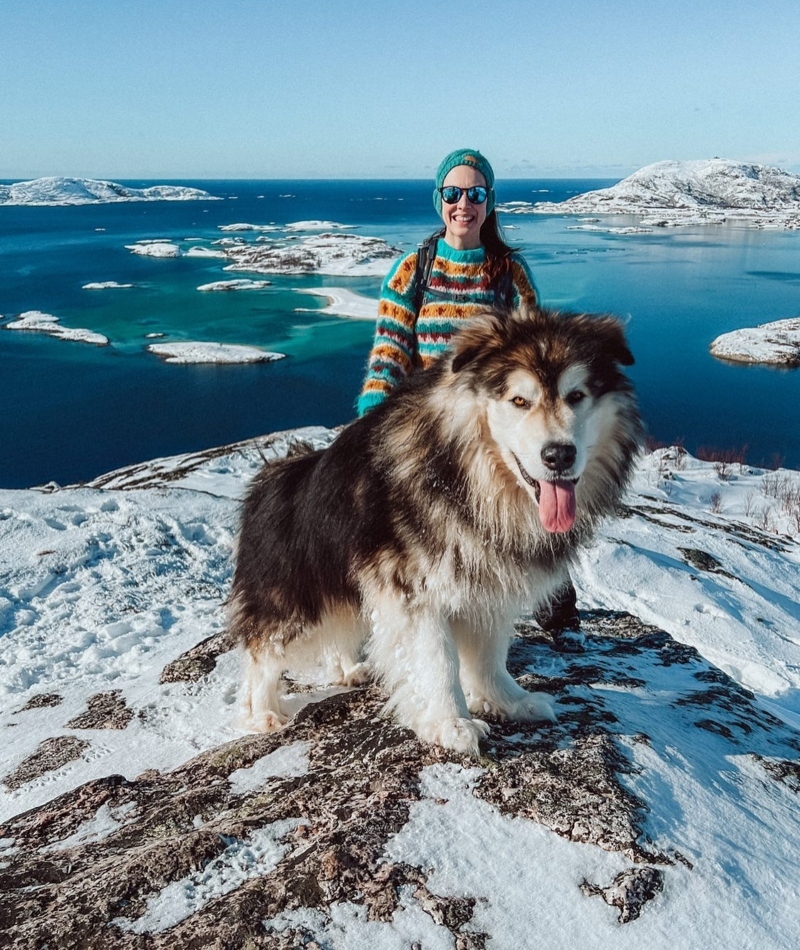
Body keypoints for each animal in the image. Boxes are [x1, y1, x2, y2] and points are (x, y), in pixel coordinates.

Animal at [230, 308, 644, 756]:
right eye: (519, 400)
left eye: (577, 396)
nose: (559, 455)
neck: (466, 478)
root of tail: (273, 477)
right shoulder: (414, 590)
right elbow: (437, 659)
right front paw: (450, 722)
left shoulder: (490, 581)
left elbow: (489, 655)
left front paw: (508, 701)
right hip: (296, 598)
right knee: (261, 653)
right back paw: (261, 713)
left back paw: (348, 670)